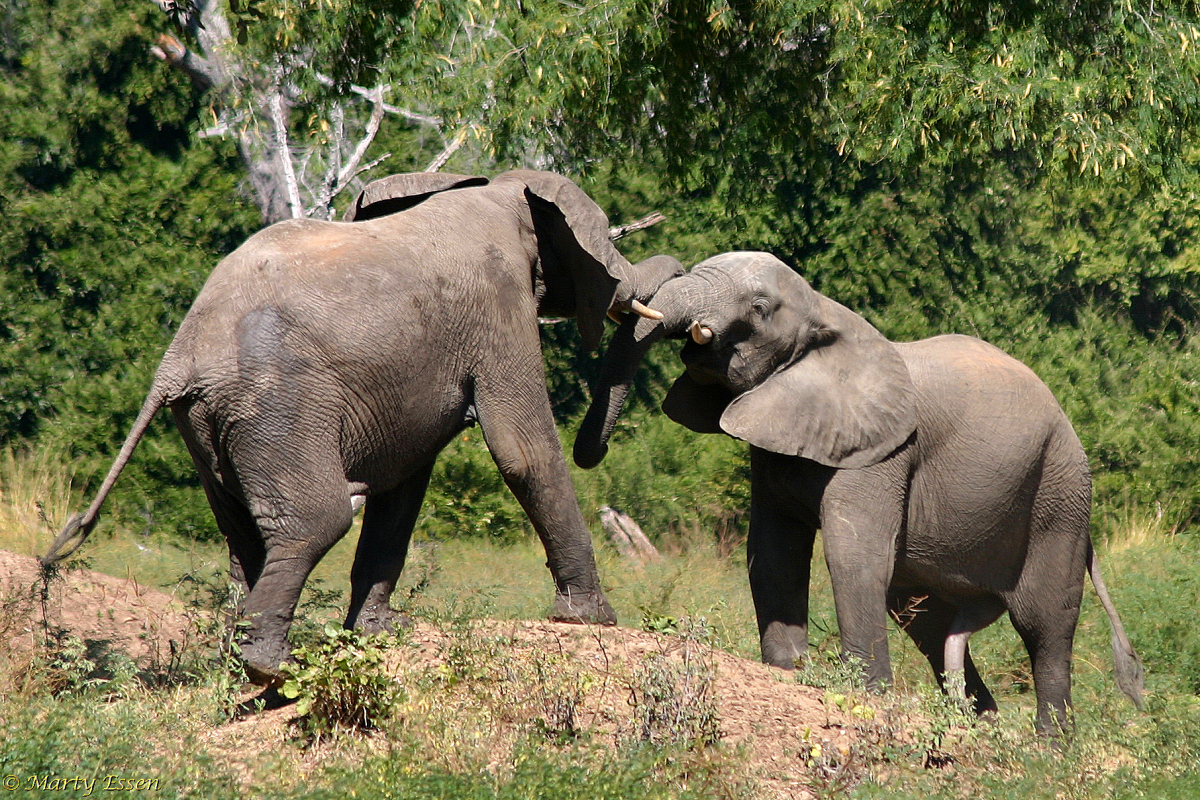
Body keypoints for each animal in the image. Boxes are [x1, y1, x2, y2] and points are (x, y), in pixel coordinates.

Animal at [42, 170, 686, 690]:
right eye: (610, 243)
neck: (500, 190)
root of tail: (178, 358)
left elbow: (404, 487)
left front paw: (377, 635)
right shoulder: (498, 306)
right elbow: (522, 450)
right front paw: (593, 618)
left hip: (208, 424)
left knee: (245, 535)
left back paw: (236, 667)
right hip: (279, 408)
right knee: (318, 519)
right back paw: (272, 668)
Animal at [576, 251, 1147, 738]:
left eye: (759, 308)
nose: (592, 454)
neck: (824, 311)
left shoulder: (882, 452)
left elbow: (853, 554)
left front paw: (865, 695)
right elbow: (773, 554)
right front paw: (789, 672)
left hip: (1061, 489)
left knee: (1042, 620)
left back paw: (1050, 747)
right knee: (926, 618)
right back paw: (977, 724)